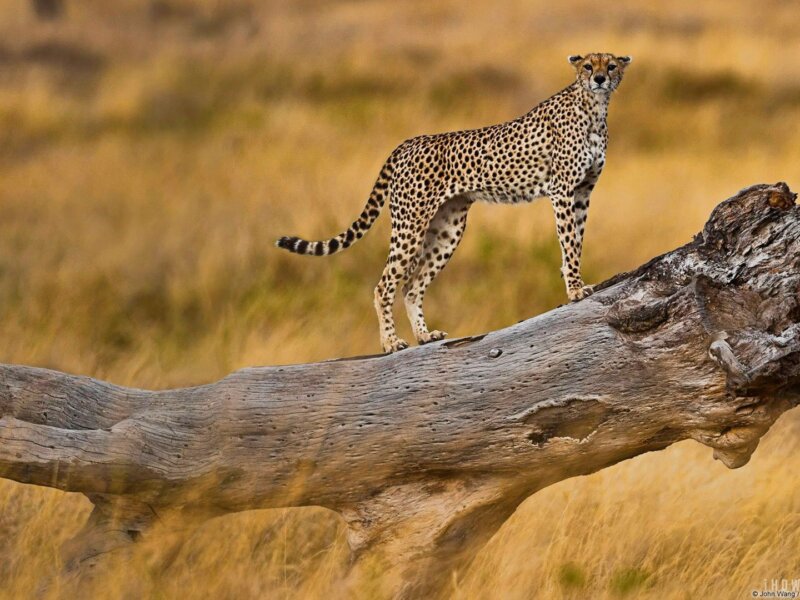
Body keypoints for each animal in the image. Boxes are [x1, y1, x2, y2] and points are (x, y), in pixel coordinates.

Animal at [277, 52, 632, 353]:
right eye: (588, 66)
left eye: (611, 65)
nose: (600, 78)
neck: (594, 108)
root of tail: (409, 141)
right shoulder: (563, 191)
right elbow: (569, 243)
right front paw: (575, 289)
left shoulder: (583, 193)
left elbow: (577, 241)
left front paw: (576, 282)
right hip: (410, 225)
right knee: (385, 284)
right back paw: (391, 343)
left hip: (448, 229)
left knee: (411, 286)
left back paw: (424, 335)